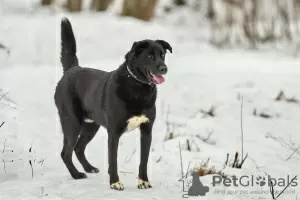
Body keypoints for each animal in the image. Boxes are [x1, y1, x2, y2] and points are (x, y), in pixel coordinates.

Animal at [54, 17, 171, 191]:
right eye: (150, 56)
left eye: (162, 55)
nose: (164, 68)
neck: (137, 87)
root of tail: (71, 70)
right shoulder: (114, 133)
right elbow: (113, 160)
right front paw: (115, 183)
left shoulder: (146, 131)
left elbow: (143, 161)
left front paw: (143, 181)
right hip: (72, 123)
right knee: (66, 152)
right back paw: (76, 174)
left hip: (91, 125)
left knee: (78, 148)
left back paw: (89, 168)